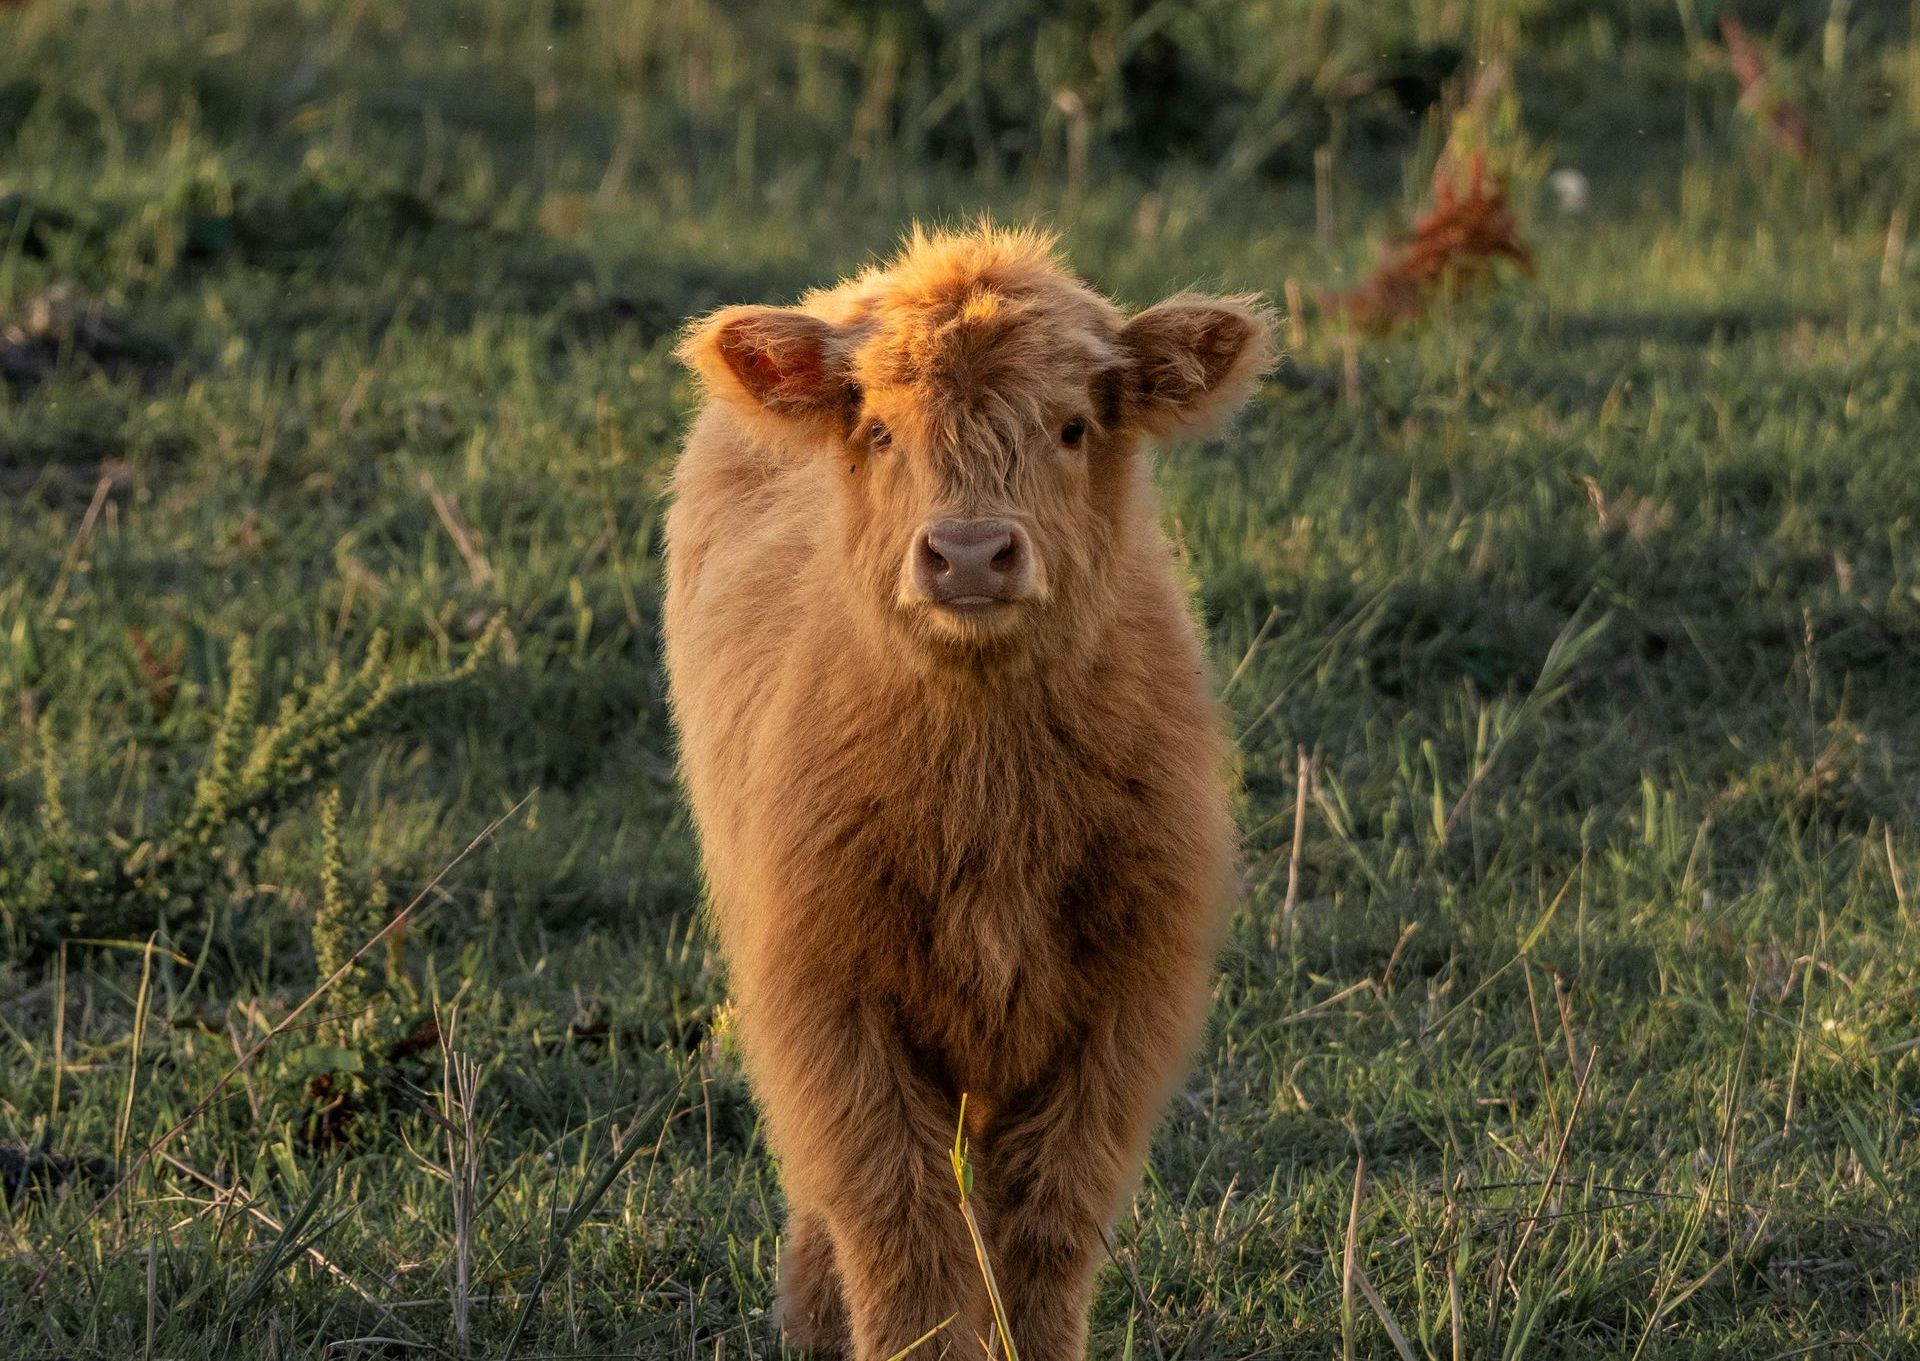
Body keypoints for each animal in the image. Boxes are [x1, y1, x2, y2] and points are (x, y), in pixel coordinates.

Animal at [663, 224, 1272, 1360]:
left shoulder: (1125, 1003)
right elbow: (897, 1221)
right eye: (878, 427)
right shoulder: (824, 996)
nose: (971, 553)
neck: (989, 801)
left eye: (1072, 425)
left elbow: (1046, 1221)